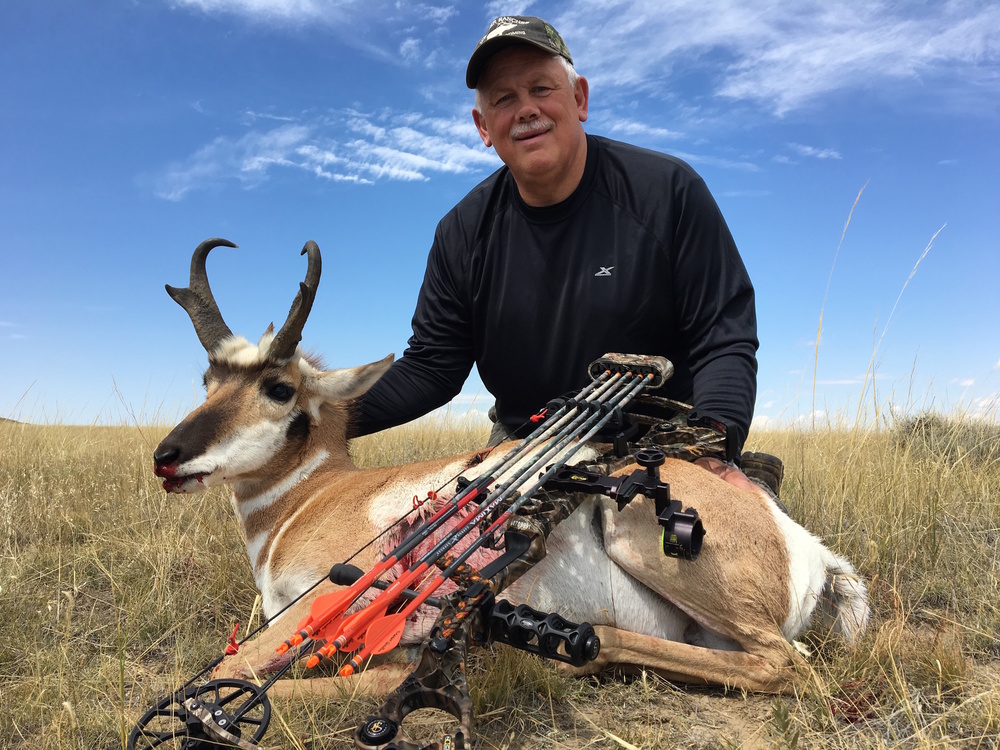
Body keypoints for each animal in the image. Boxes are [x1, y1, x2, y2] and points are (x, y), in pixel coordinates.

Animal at [153, 238, 869, 697]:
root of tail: (803, 542)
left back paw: (581, 653)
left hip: (642, 536)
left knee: (784, 663)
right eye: (209, 380)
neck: (311, 498)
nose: (167, 457)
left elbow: (231, 675)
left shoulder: (321, 605)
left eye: (279, 388)